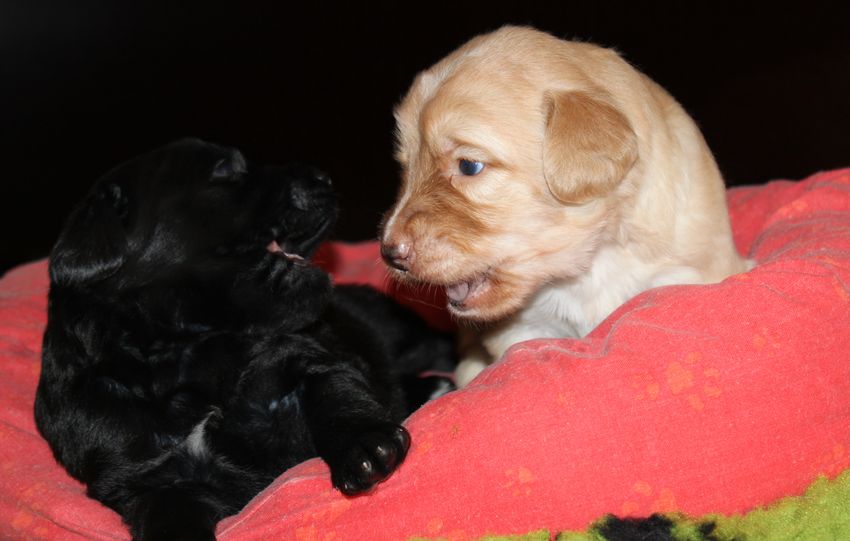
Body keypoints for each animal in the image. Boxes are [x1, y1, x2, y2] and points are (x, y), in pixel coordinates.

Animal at [35, 138, 455, 540]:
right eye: (226, 169)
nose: (324, 176)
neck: (185, 355)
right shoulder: (146, 479)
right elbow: (168, 517)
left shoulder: (303, 358)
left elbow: (336, 394)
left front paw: (365, 444)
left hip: (396, 328)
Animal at [381, 26, 751, 387]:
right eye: (406, 166)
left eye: (469, 166)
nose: (388, 253)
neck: (593, 259)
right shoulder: (522, 330)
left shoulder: (689, 274)